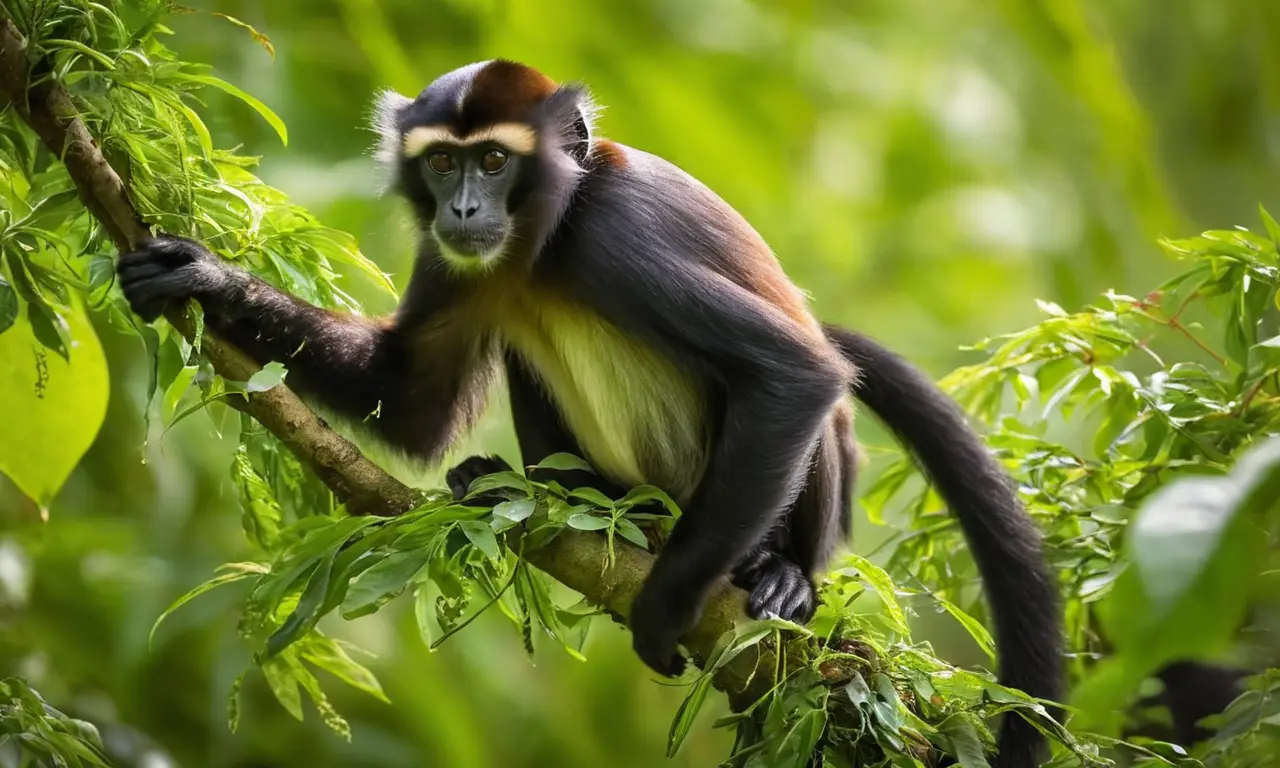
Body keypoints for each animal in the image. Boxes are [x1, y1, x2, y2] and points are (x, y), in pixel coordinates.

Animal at [117, 60, 1062, 766]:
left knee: (814, 398)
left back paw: (780, 571)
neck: (545, 237)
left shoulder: (615, 236)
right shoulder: (454, 255)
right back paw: (560, 498)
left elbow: (792, 376)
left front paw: (666, 609)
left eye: (495, 163)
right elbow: (412, 402)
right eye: (444, 164)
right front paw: (204, 277)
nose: (465, 208)